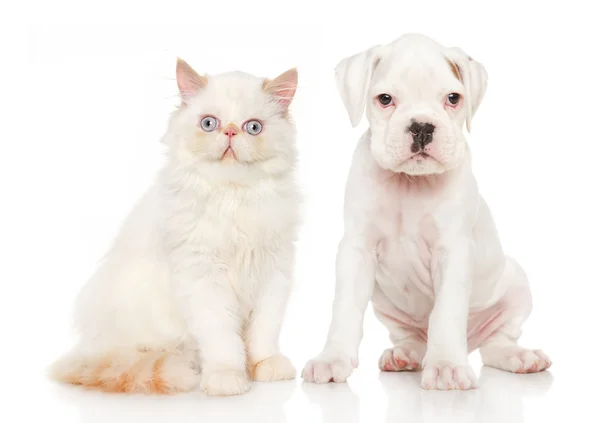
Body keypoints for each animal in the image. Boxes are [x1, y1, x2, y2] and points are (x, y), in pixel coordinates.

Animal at [48, 58, 300, 398]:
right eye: (209, 123)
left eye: (253, 127)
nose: (230, 131)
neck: (233, 197)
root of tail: (89, 349)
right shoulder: (203, 278)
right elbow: (222, 336)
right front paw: (227, 376)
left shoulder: (273, 273)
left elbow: (265, 330)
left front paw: (266, 365)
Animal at [302, 33, 552, 390]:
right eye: (385, 99)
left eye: (453, 98)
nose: (421, 126)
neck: (410, 183)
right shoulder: (356, 250)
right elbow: (345, 310)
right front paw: (332, 358)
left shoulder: (453, 252)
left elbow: (446, 311)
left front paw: (447, 364)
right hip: (386, 302)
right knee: (413, 337)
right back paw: (405, 354)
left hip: (516, 285)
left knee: (495, 344)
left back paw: (518, 356)